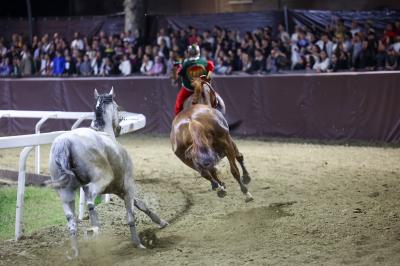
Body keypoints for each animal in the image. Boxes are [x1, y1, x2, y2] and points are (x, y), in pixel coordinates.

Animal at [47, 88, 168, 258]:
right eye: (117, 108)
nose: (118, 128)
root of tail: (65, 142)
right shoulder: (127, 186)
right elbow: (131, 215)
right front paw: (138, 243)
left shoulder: (118, 189)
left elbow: (140, 204)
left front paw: (161, 222)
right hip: (100, 180)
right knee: (90, 199)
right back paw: (94, 228)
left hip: (65, 193)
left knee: (72, 221)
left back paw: (77, 252)